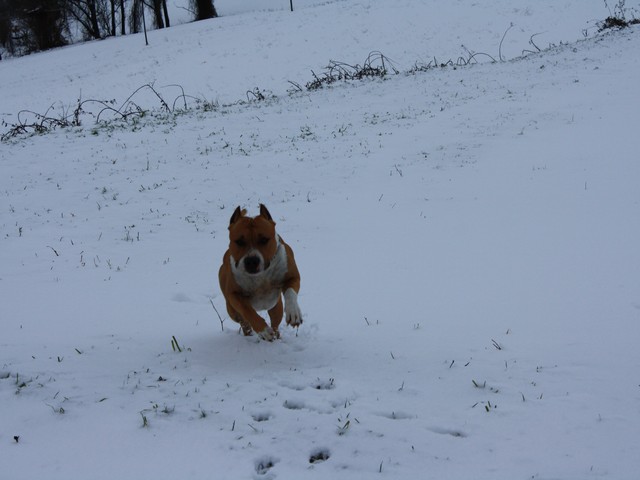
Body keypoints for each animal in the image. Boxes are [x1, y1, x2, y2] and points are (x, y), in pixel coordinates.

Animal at [218, 204, 302, 341]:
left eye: (264, 240)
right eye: (239, 241)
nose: (251, 261)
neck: (261, 276)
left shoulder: (292, 277)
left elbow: (290, 292)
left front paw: (293, 313)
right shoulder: (234, 294)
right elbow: (247, 310)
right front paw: (263, 330)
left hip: (276, 307)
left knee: (275, 322)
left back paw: (276, 335)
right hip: (232, 311)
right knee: (243, 320)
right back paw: (250, 333)